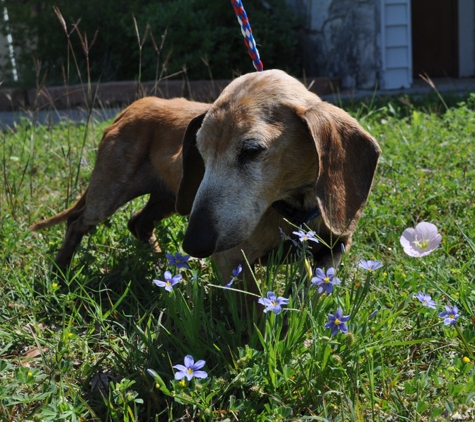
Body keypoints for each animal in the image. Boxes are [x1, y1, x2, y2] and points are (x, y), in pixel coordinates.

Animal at [29, 97, 208, 268]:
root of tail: (133, 107)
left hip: (168, 198)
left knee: (138, 223)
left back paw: (159, 265)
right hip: (109, 194)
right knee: (76, 222)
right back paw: (59, 270)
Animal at [177, 68, 382, 294]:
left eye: (251, 150)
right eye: (200, 150)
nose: (193, 243)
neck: (294, 210)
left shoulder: (337, 245)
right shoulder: (232, 259)